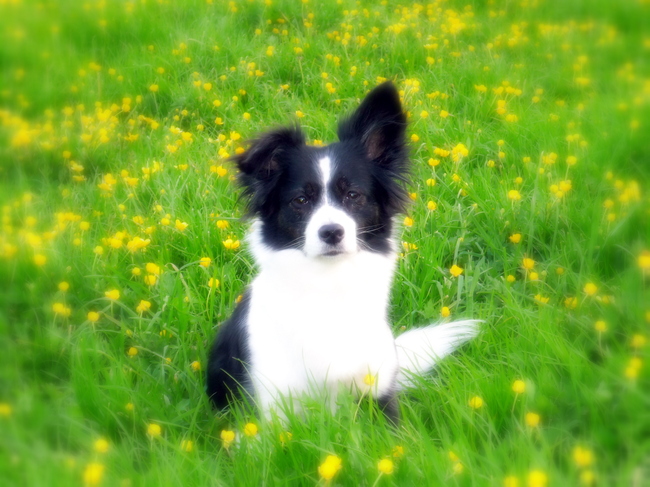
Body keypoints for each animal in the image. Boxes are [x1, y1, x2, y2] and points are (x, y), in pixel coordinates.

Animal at [206, 82, 479, 423]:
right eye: (300, 200)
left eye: (353, 195)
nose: (332, 232)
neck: (329, 286)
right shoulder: (275, 409)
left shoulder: (379, 390)